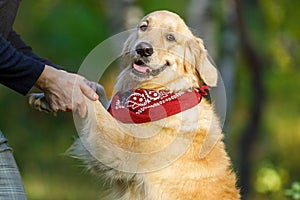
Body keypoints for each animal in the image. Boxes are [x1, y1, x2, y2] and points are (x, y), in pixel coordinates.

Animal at [31, 9, 241, 198]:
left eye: (171, 37)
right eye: (144, 26)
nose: (143, 49)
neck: (158, 92)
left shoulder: (116, 150)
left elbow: (94, 103)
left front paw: (65, 88)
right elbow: (99, 93)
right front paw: (45, 96)